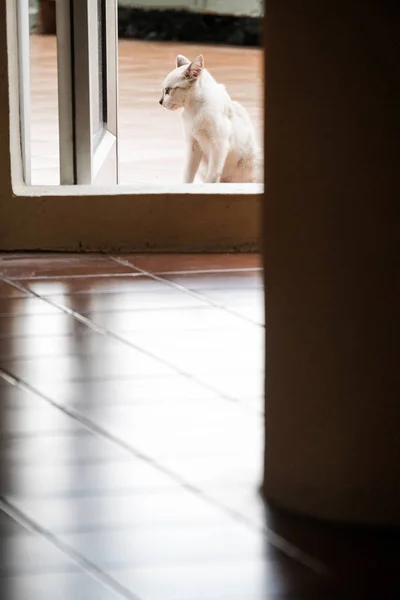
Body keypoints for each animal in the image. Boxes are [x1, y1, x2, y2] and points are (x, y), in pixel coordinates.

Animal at [160, 55, 262, 184]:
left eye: (168, 90)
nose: (160, 102)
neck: (193, 111)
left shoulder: (218, 145)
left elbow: (212, 176)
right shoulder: (193, 144)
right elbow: (188, 174)